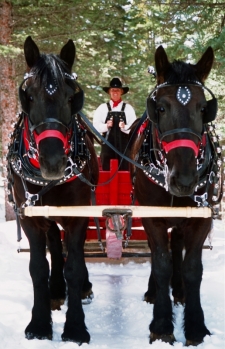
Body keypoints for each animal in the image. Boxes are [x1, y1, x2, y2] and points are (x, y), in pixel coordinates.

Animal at [7, 36, 98, 342]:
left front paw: (76, 327)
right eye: (29, 96)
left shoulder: (78, 215)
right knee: (56, 247)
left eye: (71, 97)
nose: (54, 162)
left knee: (73, 251)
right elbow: (38, 267)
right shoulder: (30, 217)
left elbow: (74, 266)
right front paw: (39, 323)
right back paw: (56, 290)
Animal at [131, 44, 222, 344]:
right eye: (160, 107)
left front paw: (195, 326)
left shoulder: (202, 218)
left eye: (204, 108)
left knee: (177, 245)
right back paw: (155, 292)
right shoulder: (152, 218)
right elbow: (161, 264)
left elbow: (193, 268)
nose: (184, 179)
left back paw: (179, 291)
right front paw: (161, 326)